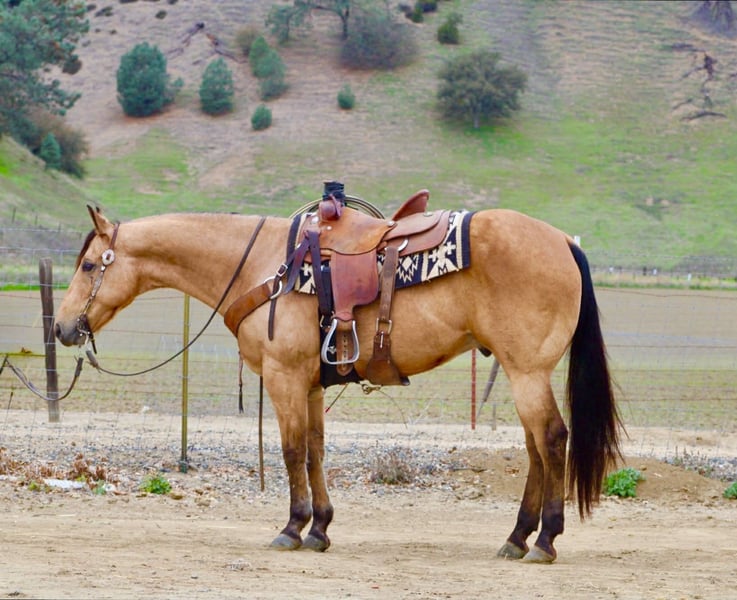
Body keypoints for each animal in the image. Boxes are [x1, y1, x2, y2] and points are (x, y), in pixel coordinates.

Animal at [54, 203, 622, 563]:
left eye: (89, 264)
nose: (61, 328)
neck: (262, 266)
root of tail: (562, 242)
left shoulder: (284, 377)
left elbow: (290, 451)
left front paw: (292, 527)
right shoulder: (308, 385)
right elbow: (314, 451)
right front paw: (320, 528)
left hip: (528, 373)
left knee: (551, 441)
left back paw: (544, 540)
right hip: (524, 372)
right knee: (535, 450)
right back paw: (518, 537)